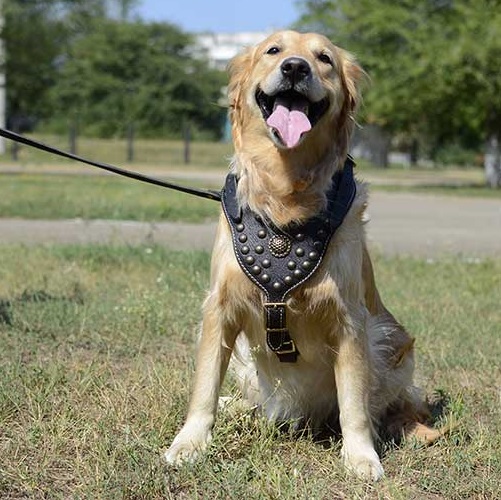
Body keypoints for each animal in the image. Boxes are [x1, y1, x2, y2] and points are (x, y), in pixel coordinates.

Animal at [164, 30, 434, 480]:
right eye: (273, 50)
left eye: (324, 58)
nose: (294, 67)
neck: (285, 192)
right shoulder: (219, 307)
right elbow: (204, 387)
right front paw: (189, 443)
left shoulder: (350, 318)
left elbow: (354, 404)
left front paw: (361, 456)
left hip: (389, 340)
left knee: (389, 404)